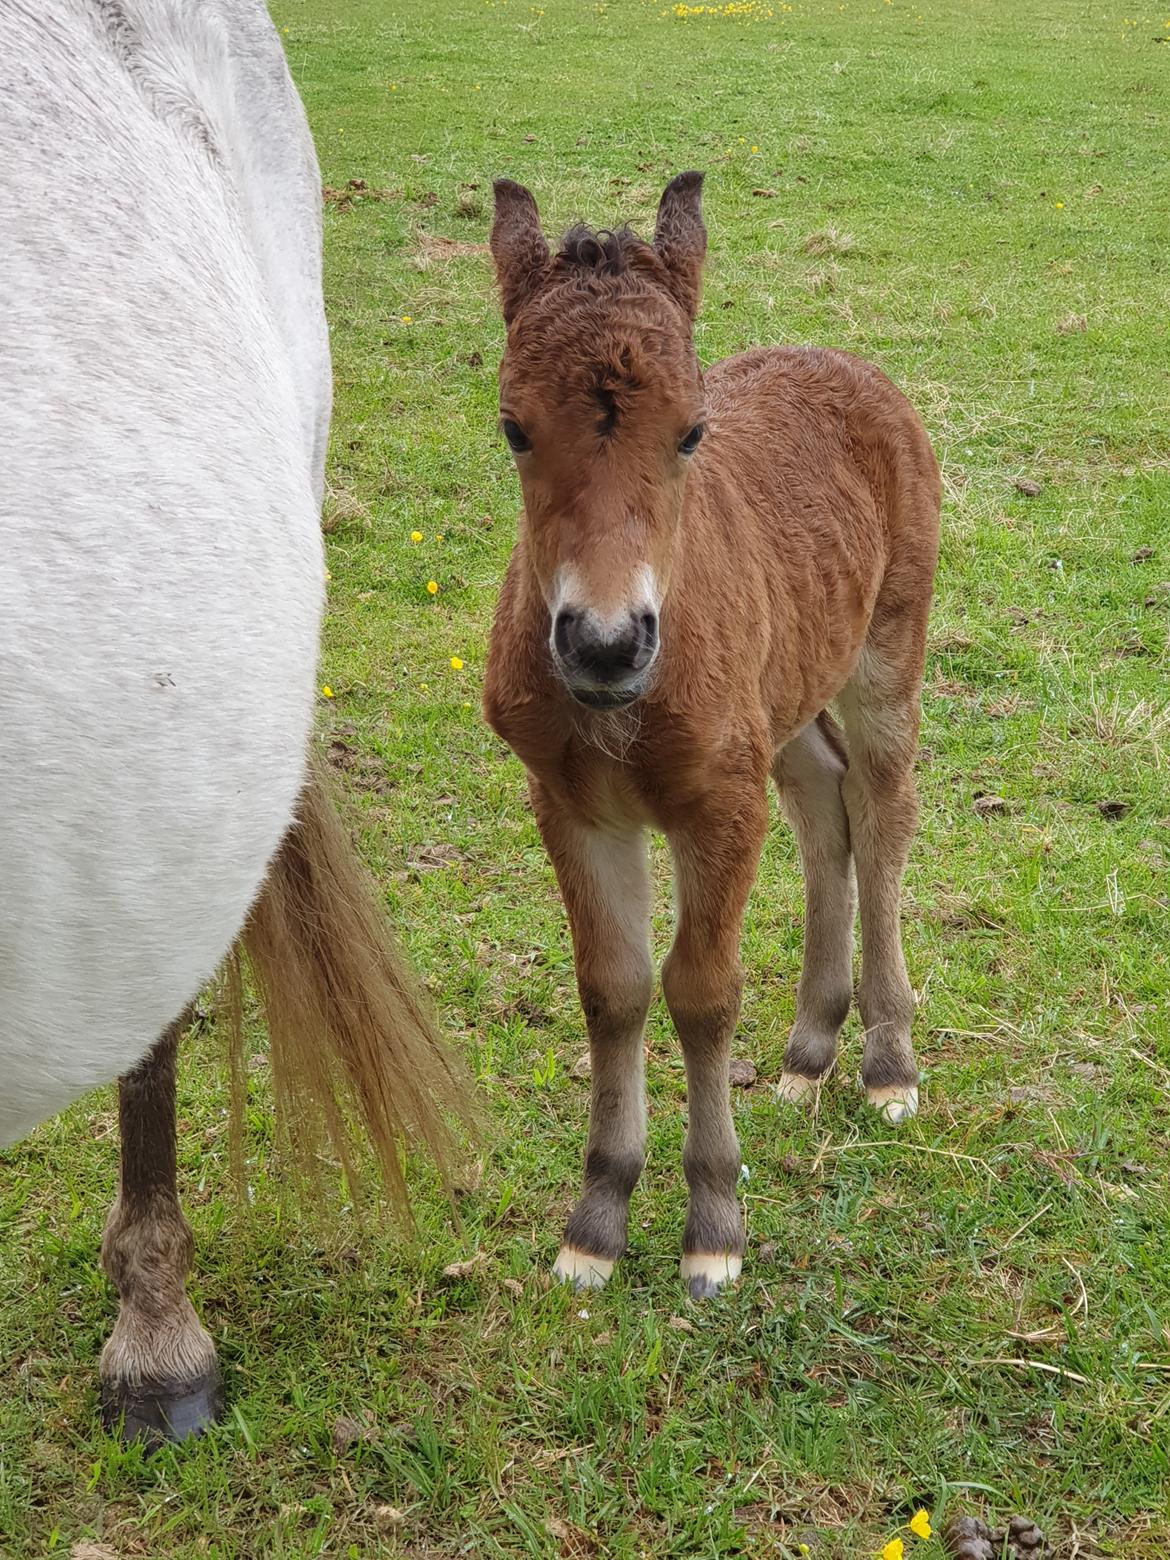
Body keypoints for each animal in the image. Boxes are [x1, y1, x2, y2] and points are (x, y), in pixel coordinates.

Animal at [480, 170, 942, 1297]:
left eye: (691, 432)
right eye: (514, 428)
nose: (606, 643)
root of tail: (852, 366)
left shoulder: (717, 803)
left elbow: (701, 991)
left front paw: (714, 1226)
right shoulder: (572, 804)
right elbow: (612, 990)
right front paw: (597, 1223)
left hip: (884, 656)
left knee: (885, 811)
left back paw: (887, 1062)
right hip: (783, 703)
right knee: (824, 808)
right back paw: (811, 1052)